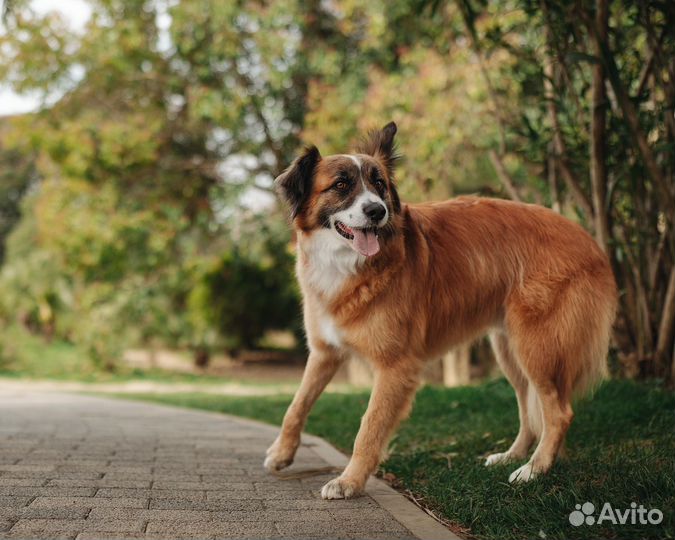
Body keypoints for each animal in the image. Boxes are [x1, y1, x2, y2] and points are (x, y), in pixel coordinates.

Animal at [264, 121, 616, 498]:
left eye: (379, 184)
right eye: (341, 184)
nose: (378, 211)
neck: (347, 263)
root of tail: (589, 240)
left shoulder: (395, 367)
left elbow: (369, 427)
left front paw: (350, 481)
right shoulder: (324, 352)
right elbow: (296, 404)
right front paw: (281, 454)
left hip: (537, 346)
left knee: (559, 413)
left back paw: (534, 469)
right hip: (510, 349)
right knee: (529, 410)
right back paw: (513, 456)